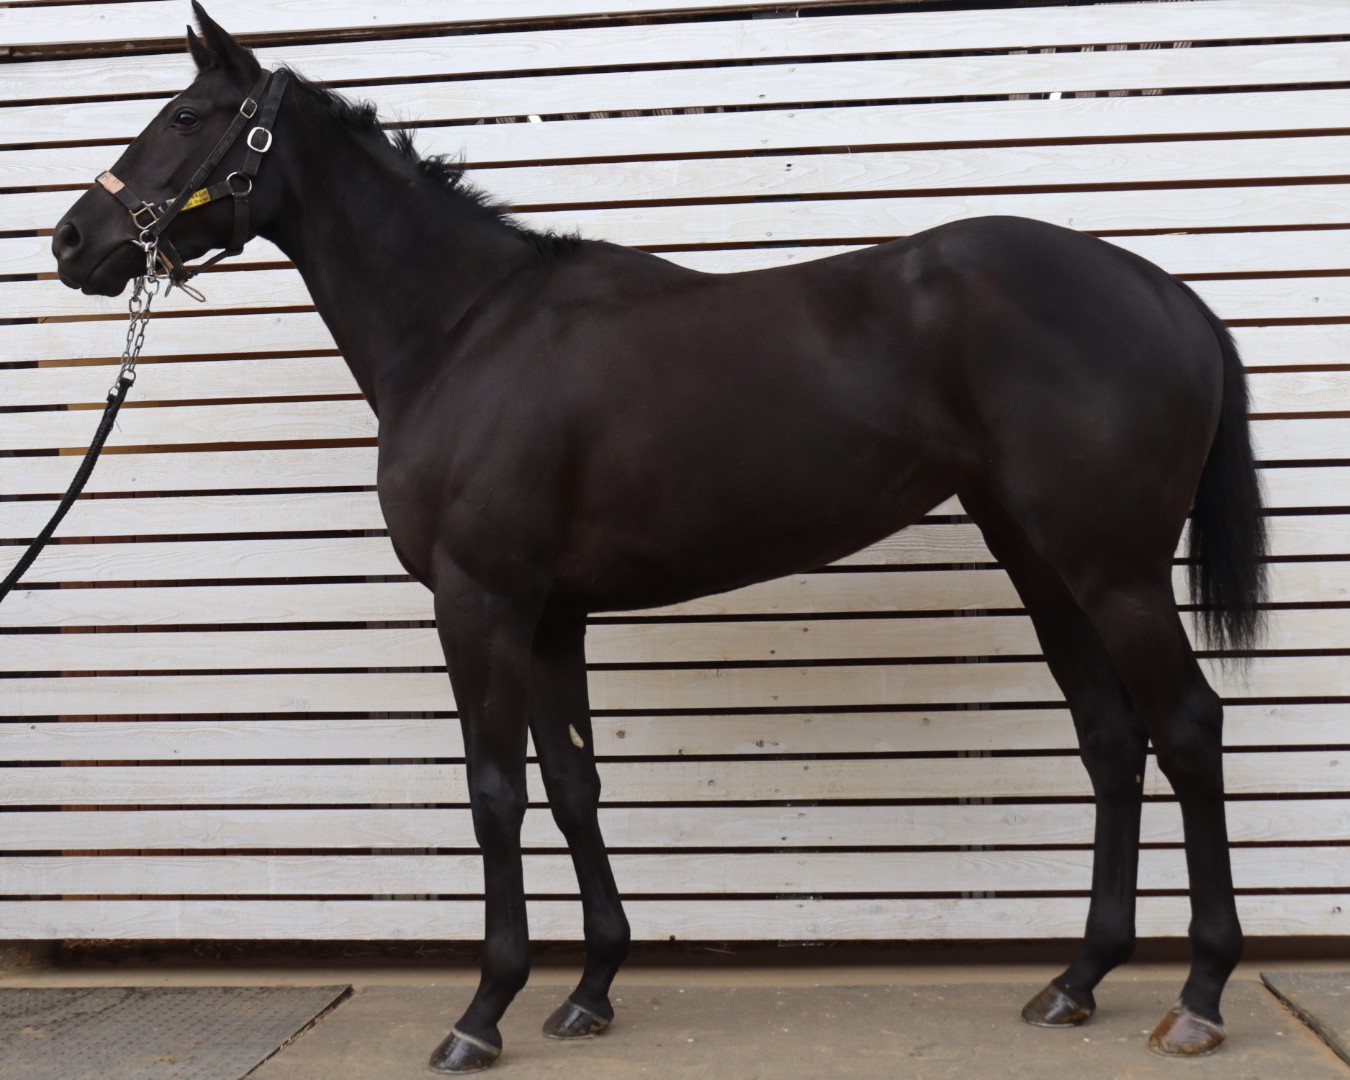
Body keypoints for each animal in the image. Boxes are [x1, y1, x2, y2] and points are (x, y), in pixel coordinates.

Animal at [51, 5, 1266, 1071]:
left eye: (186, 118)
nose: (73, 241)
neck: (467, 332)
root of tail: (1166, 293)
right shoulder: (550, 614)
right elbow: (572, 785)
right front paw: (589, 989)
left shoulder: (479, 601)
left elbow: (495, 791)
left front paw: (482, 1012)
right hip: (1044, 563)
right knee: (1111, 739)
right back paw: (1078, 978)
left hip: (1115, 573)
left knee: (1187, 728)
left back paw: (1202, 995)